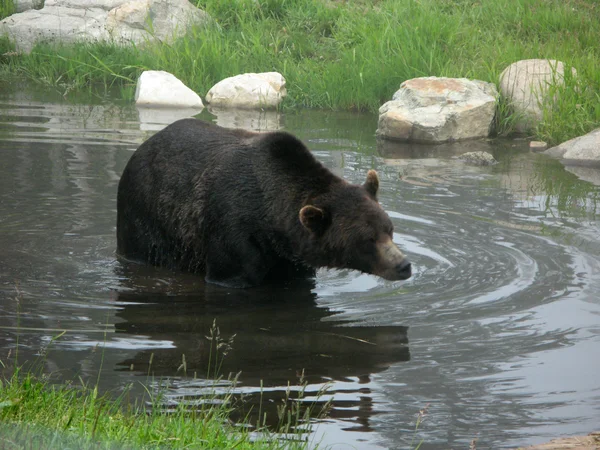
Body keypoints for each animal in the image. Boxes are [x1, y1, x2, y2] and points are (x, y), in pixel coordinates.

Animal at [115, 118, 410, 288]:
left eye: (389, 229)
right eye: (367, 239)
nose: (403, 265)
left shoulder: (291, 257)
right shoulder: (232, 231)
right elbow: (232, 275)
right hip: (146, 218)